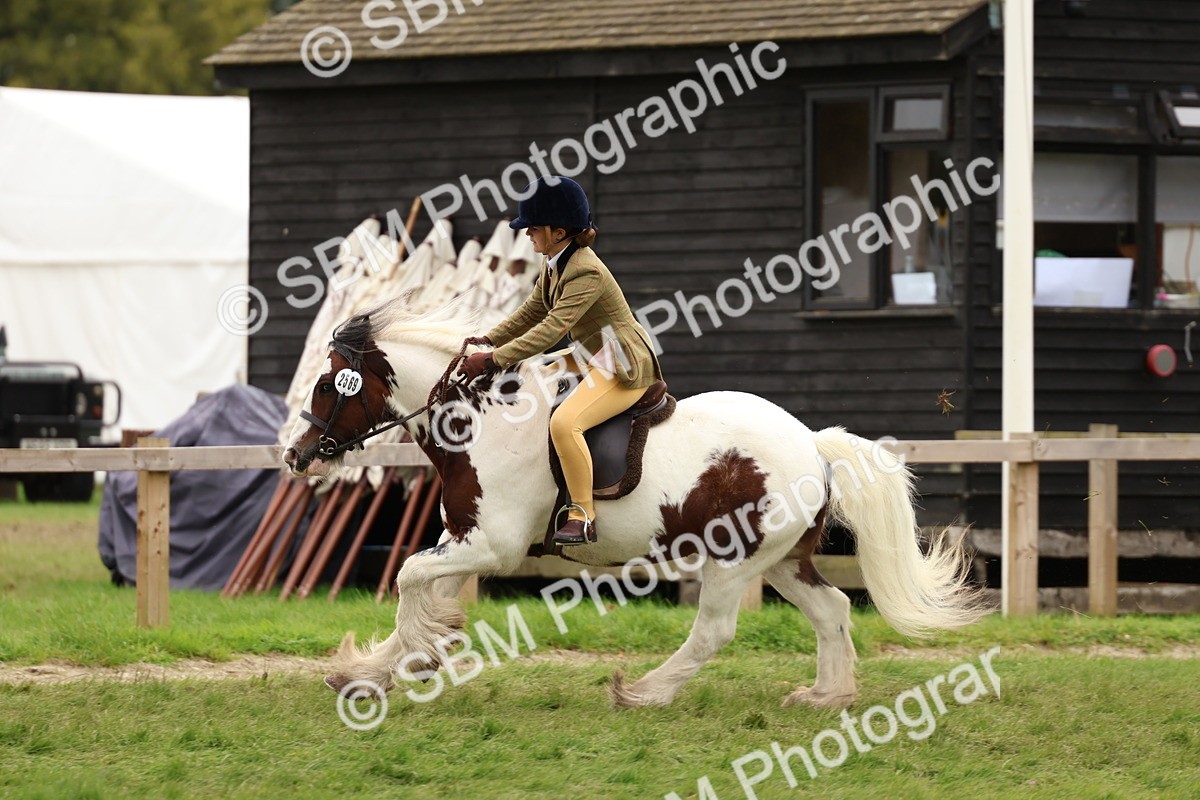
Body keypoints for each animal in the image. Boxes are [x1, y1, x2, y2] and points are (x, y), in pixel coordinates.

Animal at [282, 298, 987, 709]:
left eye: (330, 385)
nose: (296, 455)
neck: (481, 422)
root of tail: (812, 444)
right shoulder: (463, 539)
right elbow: (421, 592)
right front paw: (374, 670)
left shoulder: (493, 546)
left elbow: (407, 580)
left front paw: (388, 667)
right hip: (784, 561)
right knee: (833, 609)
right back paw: (826, 696)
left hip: (734, 561)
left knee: (714, 631)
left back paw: (643, 692)